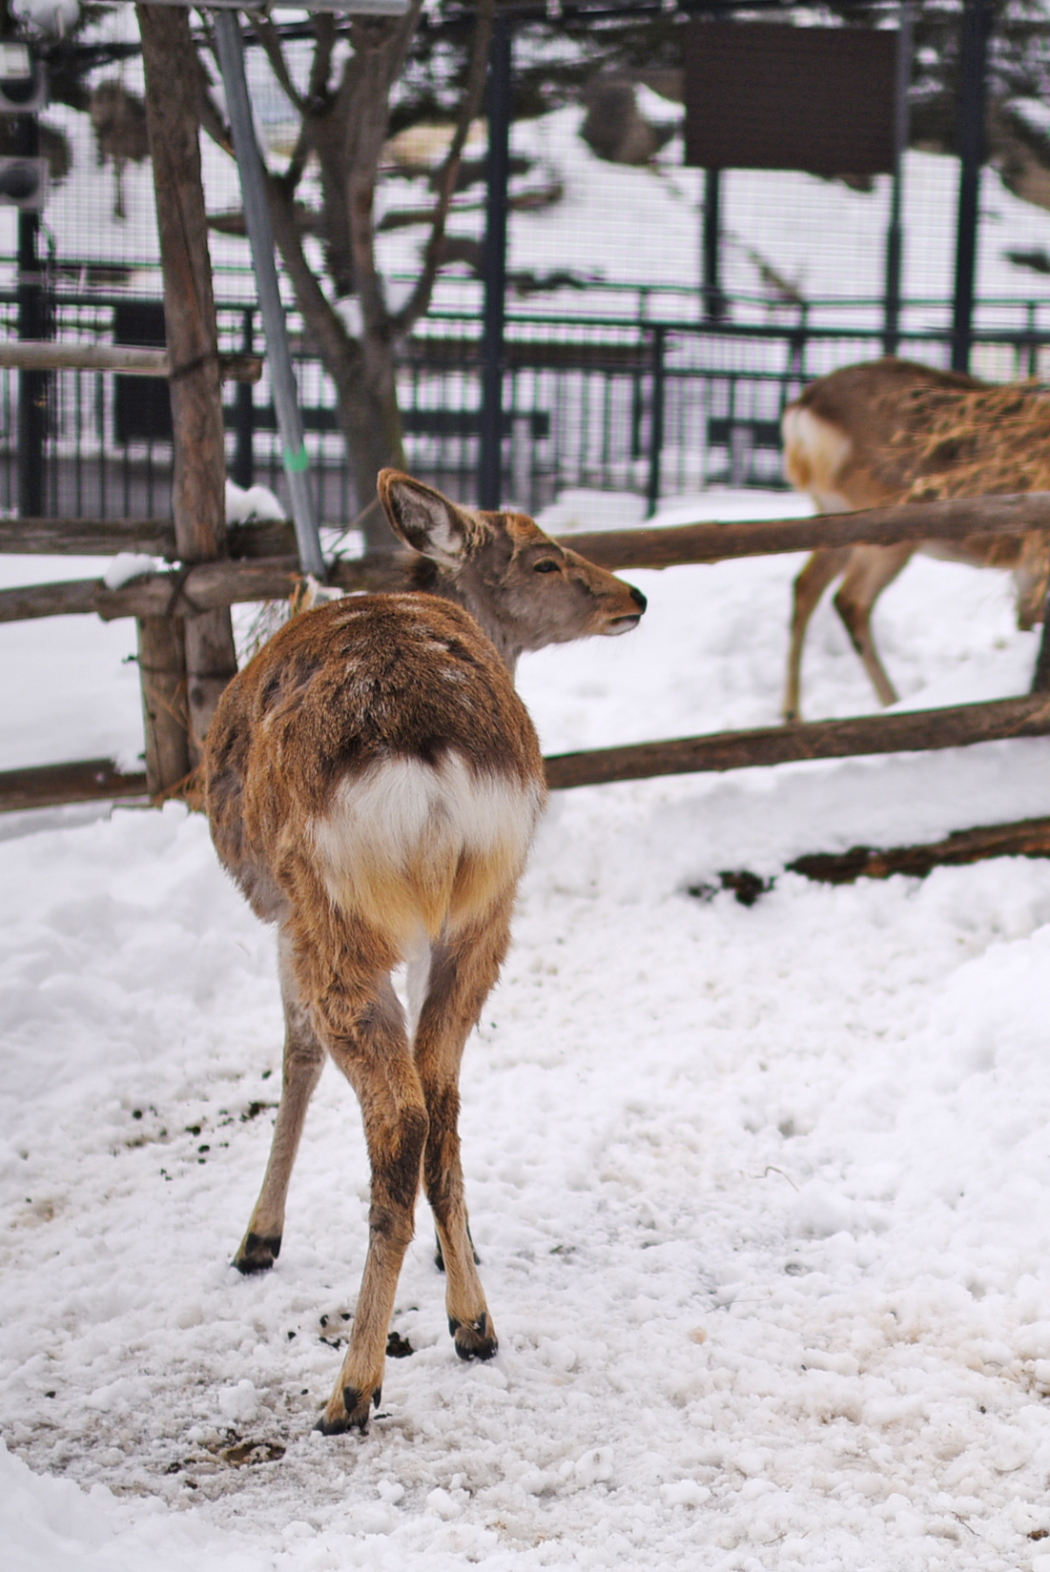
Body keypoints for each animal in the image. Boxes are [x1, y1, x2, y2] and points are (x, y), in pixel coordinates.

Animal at [202, 468, 647, 1439]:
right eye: (545, 557)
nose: (635, 594)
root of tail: (430, 757)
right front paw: (459, 1255)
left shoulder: (278, 916)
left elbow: (294, 1057)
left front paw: (258, 1238)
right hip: (485, 909)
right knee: (439, 1091)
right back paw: (472, 1320)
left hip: (331, 913)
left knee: (398, 1112)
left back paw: (352, 1387)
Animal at [776, 356, 1050, 719]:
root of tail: (804, 408)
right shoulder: (1037, 554)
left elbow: (1024, 625)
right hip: (885, 519)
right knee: (850, 600)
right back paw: (894, 702)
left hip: (833, 512)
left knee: (805, 585)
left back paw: (792, 712)